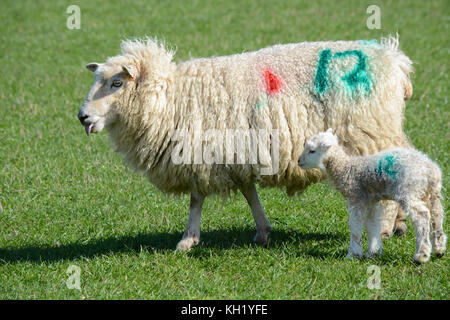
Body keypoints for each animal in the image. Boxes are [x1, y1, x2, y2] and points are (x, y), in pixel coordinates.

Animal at [78, 35, 414, 250]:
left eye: (116, 83)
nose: (82, 116)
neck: (172, 98)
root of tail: (395, 60)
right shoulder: (233, 154)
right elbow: (248, 192)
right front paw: (263, 231)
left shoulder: (202, 152)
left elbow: (196, 199)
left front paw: (187, 240)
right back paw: (399, 223)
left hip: (370, 133)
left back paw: (385, 228)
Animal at [298, 129, 446, 264]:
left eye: (312, 151)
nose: (299, 161)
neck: (346, 169)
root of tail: (430, 169)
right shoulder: (371, 201)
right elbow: (372, 225)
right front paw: (373, 253)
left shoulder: (356, 199)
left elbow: (355, 227)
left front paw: (353, 255)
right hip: (431, 193)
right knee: (437, 215)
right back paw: (439, 249)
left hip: (408, 190)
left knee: (422, 216)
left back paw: (421, 255)